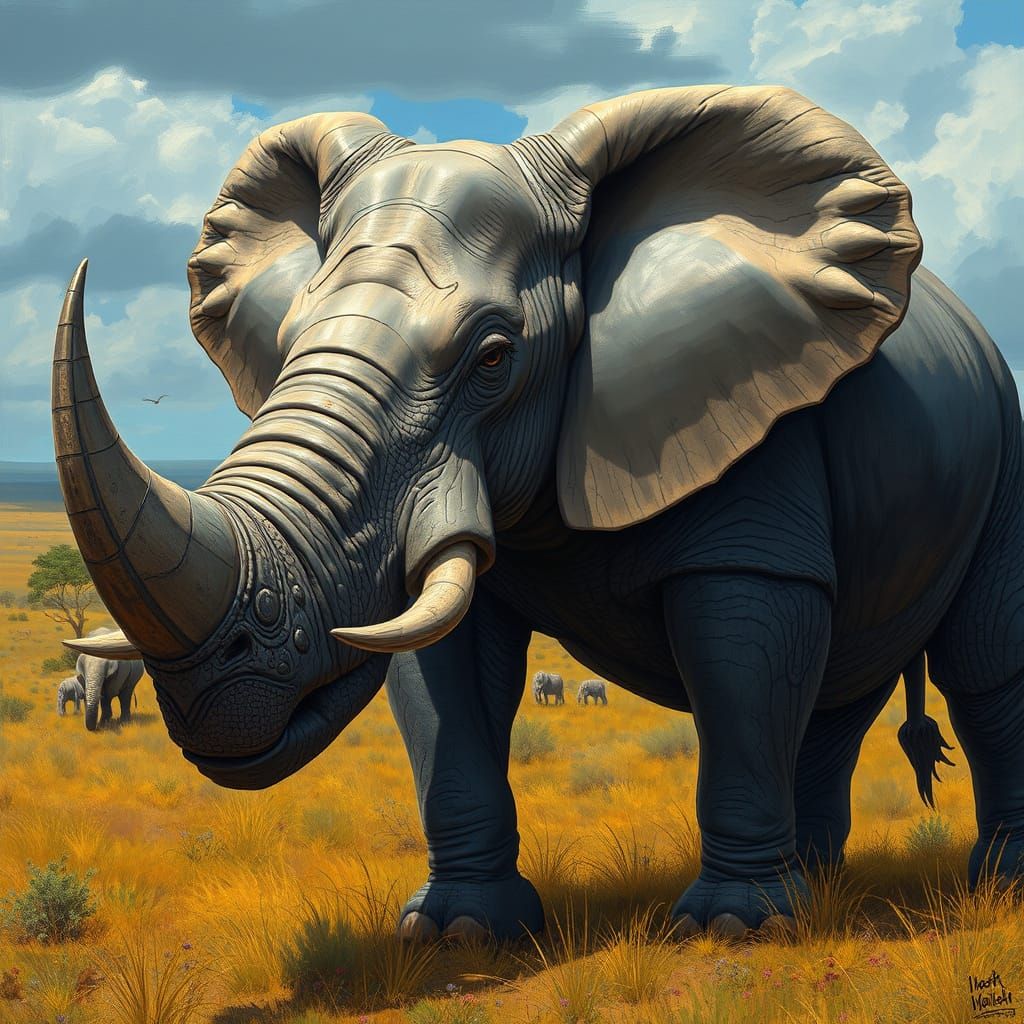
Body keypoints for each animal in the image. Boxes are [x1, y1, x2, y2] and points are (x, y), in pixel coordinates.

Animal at [51, 83, 1024, 943]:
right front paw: (457, 933)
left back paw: (984, 889)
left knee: (978, 670)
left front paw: (736, 930)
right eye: (286, 341)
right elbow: (441, 672)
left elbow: (744, 637)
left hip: (1004, 439)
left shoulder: (757, 420)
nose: (225, 688)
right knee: (838, 693)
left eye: (492, 356)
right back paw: (821, 885)